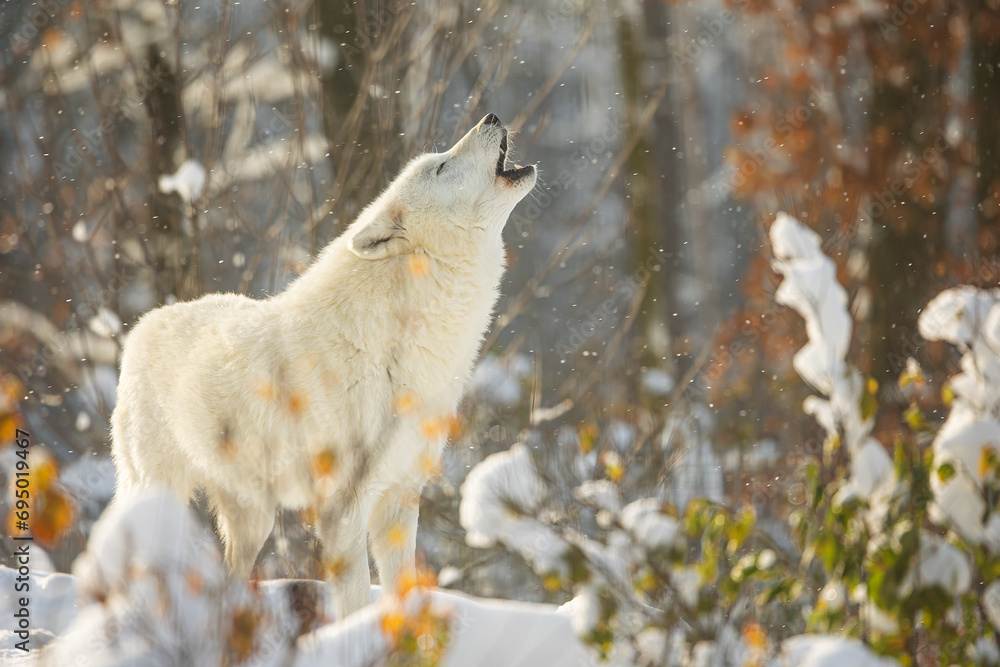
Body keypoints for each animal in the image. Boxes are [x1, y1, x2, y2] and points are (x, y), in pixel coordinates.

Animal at [112, 116, 536, 620]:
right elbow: (353, 601)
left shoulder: (399, 497)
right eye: (441, 167)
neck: (398, 348)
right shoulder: (343, 509)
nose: (491, 117)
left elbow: (403, 592)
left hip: (254, 519)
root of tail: (144, 323)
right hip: (160, 493)